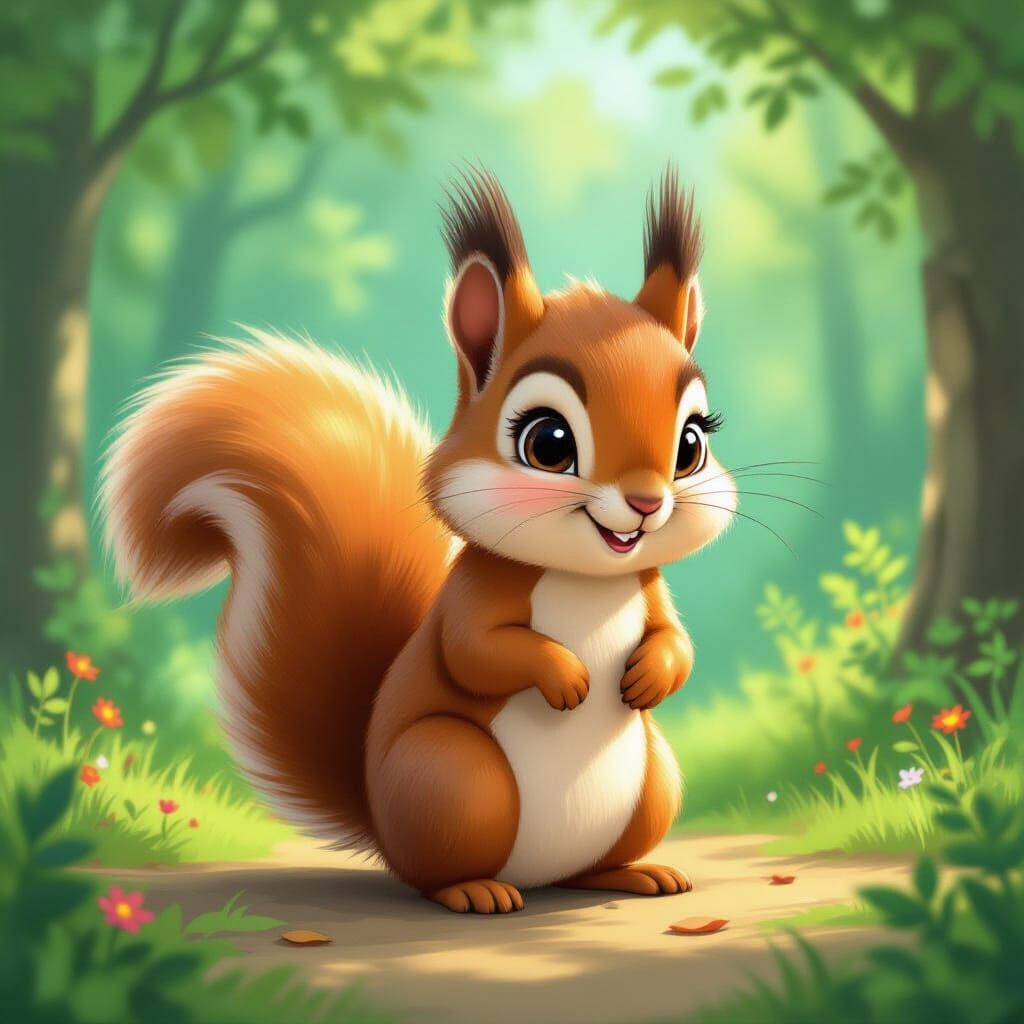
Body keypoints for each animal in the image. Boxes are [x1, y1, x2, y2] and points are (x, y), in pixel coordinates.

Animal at [100, 167, 736, 914]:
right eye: (548, 443)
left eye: (692, 444)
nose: (645, 503)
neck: (585, 579)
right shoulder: (476, 593)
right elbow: (476, 652)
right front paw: (566, 675)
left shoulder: (648, 589)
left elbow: (677, 638)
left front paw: (649, 673)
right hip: (453, 775)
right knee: (436, 871)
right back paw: (475, 891)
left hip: (651, 780)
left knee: (592, 863)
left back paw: (634, 874)